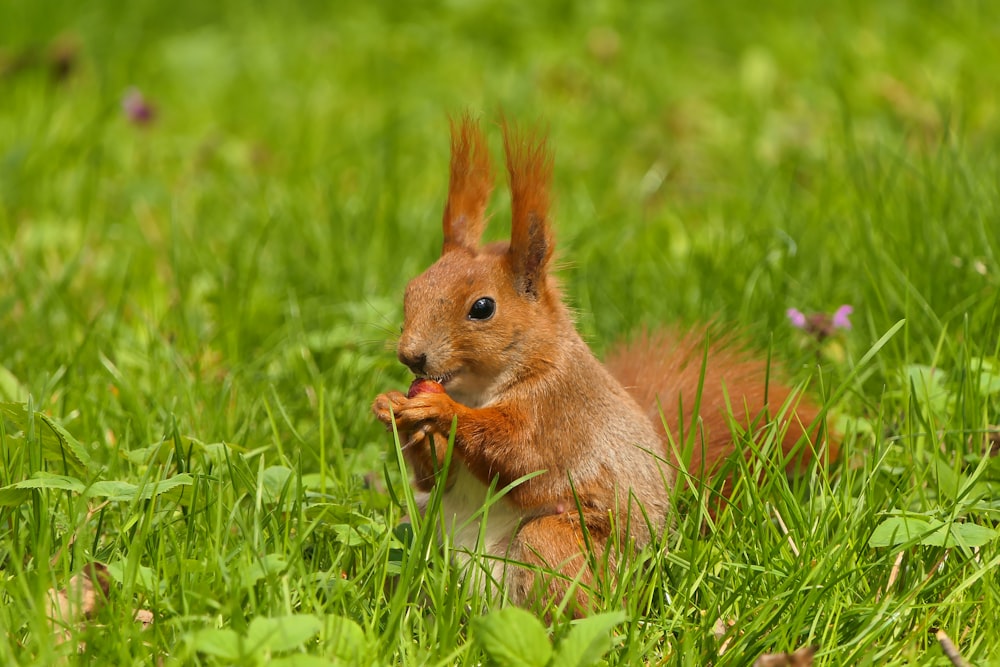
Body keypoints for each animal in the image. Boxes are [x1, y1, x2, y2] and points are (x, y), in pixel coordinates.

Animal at [372, 115, 832, 616]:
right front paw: (392, 406)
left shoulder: (560, 411)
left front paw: (441, 412)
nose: (411, 356)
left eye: (482, 308)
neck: (480, 387)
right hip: (418, 535)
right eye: (412, 289)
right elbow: (437, 474)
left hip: (562, 547)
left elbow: (522, 456)